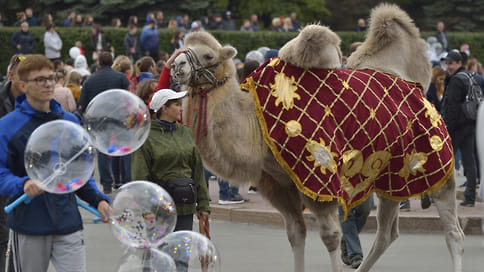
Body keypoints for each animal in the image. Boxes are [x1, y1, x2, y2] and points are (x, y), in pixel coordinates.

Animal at [170, 3, 466, 270]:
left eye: (208, 55)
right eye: (182, 46)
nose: (176, 65)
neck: (258, 128)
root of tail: (417, 87)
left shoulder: (319, 176)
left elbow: (331, 236)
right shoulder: (280, 186)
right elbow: (295, 234)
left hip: (435, 162)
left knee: (454, 232)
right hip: (392, 175)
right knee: (386, 233)